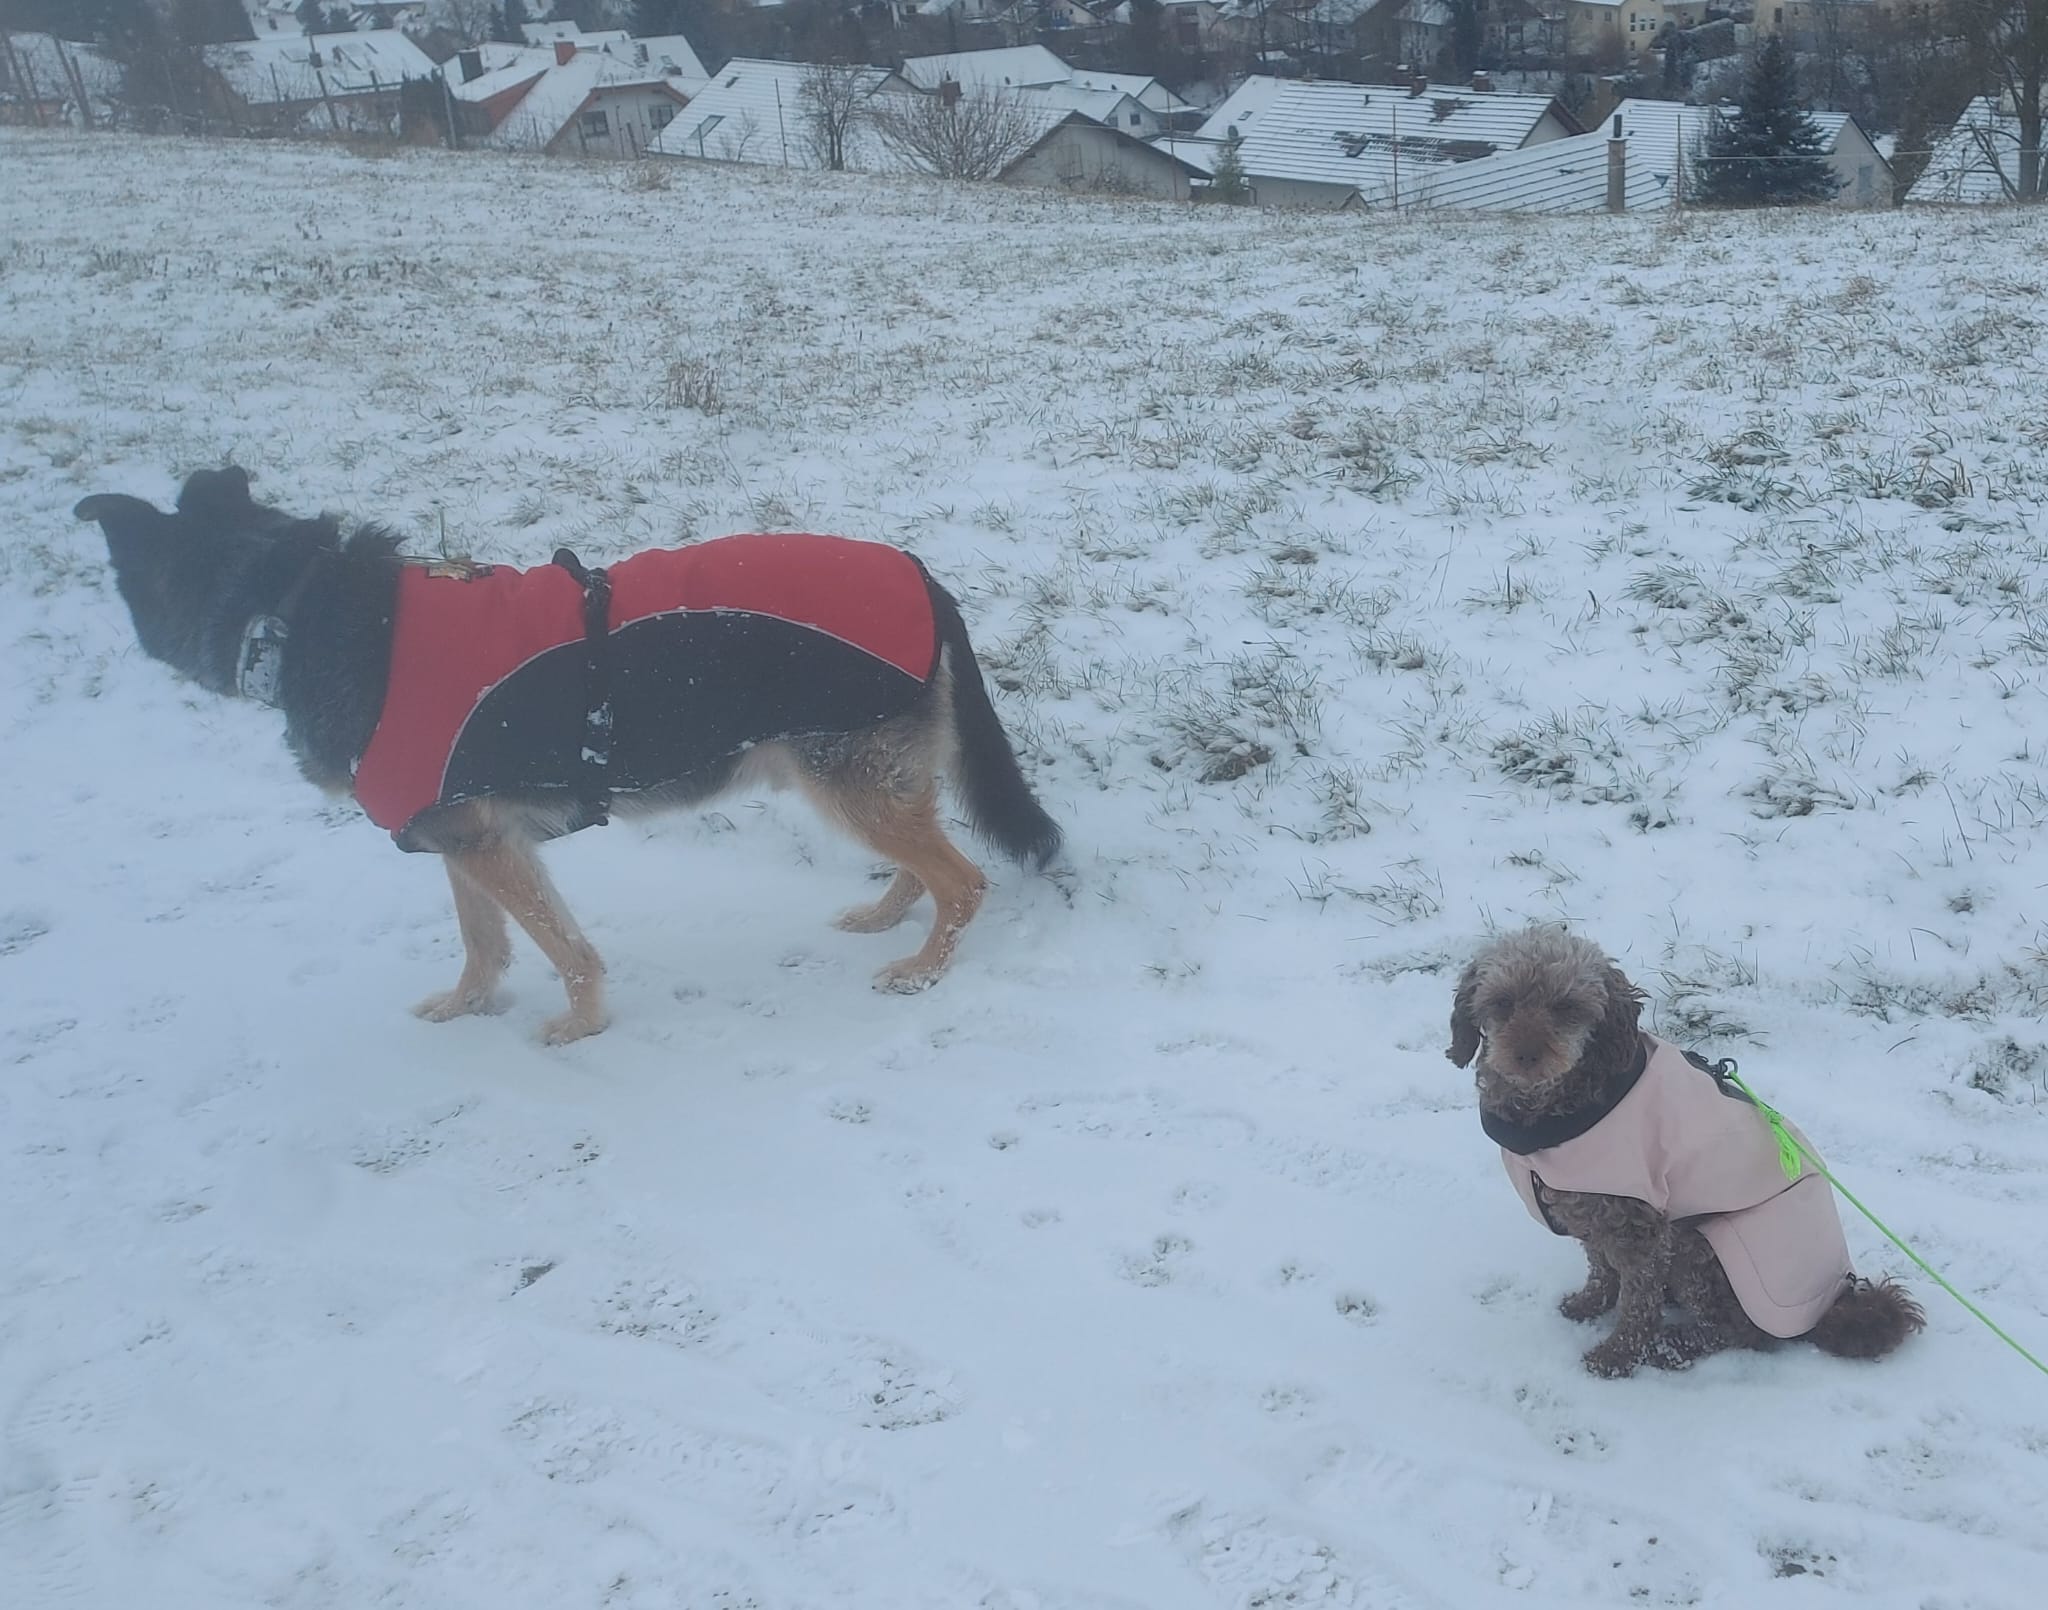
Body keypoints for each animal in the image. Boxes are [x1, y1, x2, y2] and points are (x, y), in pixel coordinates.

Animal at [76, 467, 1062, 1043]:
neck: (291, 605)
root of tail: (923, 575)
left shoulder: (484, 845)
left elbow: (564, 948)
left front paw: (581, 1027)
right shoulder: (464, 842)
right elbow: (484, 946)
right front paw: (465, 1010)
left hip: (843, 775)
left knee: (963, 880)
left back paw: (923, 968)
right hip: (856, 778)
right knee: (926, 863)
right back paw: (889, 916)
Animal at [1448, 925, 1923, 1377]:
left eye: (1566, 1006)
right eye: (1503, 1001)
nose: (1526, 1055)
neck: (1560, 1107)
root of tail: (1830, 1306)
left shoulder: (1639, 1225)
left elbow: (1638, 1301)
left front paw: (1618, 1356)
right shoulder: (1588, 1207)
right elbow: (1600, 1267)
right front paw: (1590, 1304)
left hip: (1700, 1244)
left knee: (1736, 1331)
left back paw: (1672, 1346)